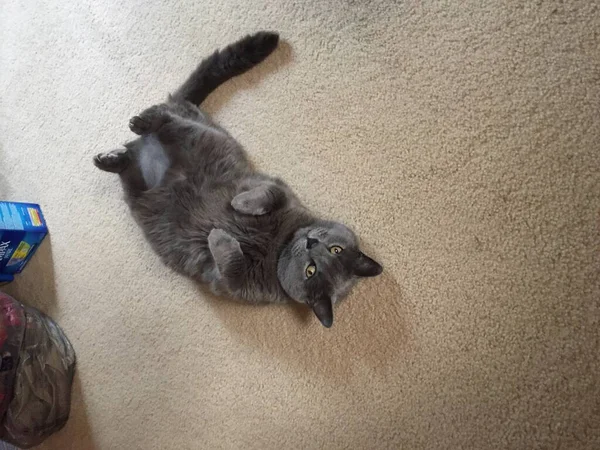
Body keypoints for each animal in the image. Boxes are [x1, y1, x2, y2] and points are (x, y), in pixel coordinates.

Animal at [95, 31, 382, 326]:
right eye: (336, 249)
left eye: (311, 271)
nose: (311, 242)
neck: (278, 245)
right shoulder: (281, 187)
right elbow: (269, 194)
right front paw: (239, 204)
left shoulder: (231, 284)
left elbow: (232, 263)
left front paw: (218, 235)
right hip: (204, 135)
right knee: (166, 120)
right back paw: (140, 126)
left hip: (149, 172)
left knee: (134, 152)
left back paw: (112, 157)